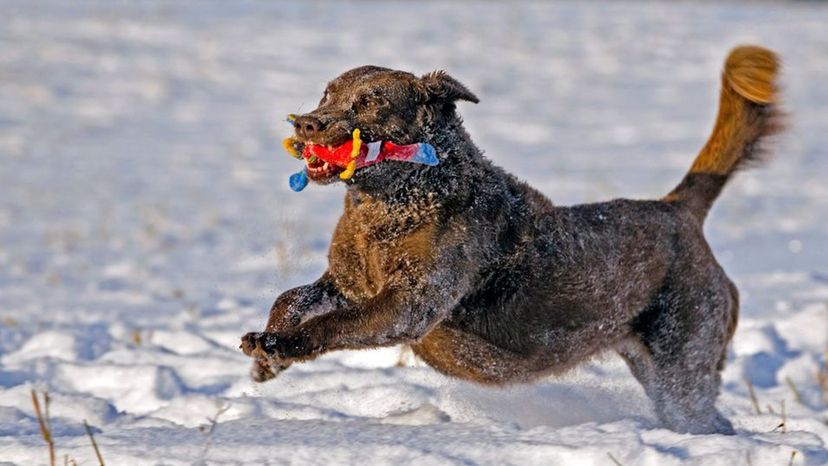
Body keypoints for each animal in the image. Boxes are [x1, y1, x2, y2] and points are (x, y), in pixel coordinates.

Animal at [241, 45, 784, 436]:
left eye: (371, 100)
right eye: (326, 94)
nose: (306, 122)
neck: (388, 207)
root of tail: (678, 211)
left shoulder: (411, 303)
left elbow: (335, 324)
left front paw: (281, 344)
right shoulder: (348, 280)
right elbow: (291, 296)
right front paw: (266, 357)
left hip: (683, 357)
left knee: (702, 411)